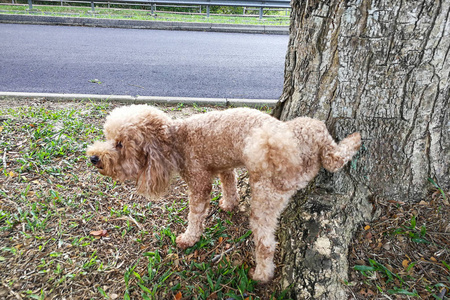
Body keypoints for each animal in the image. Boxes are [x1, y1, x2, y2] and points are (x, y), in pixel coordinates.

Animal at [86, 104, 360, 282]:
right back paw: (355, 140)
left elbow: (196, 214)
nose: (93, 158)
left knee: (266, 244)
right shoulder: (224, 165)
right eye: (108, 137)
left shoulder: (198, 182)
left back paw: (261, 275)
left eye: (120, 144)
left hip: (266, 197)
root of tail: (295, 153)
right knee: (334, 157)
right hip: (311, 127)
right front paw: (229, 203)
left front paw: (189, 238)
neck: (176, 138)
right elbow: (229, 183)